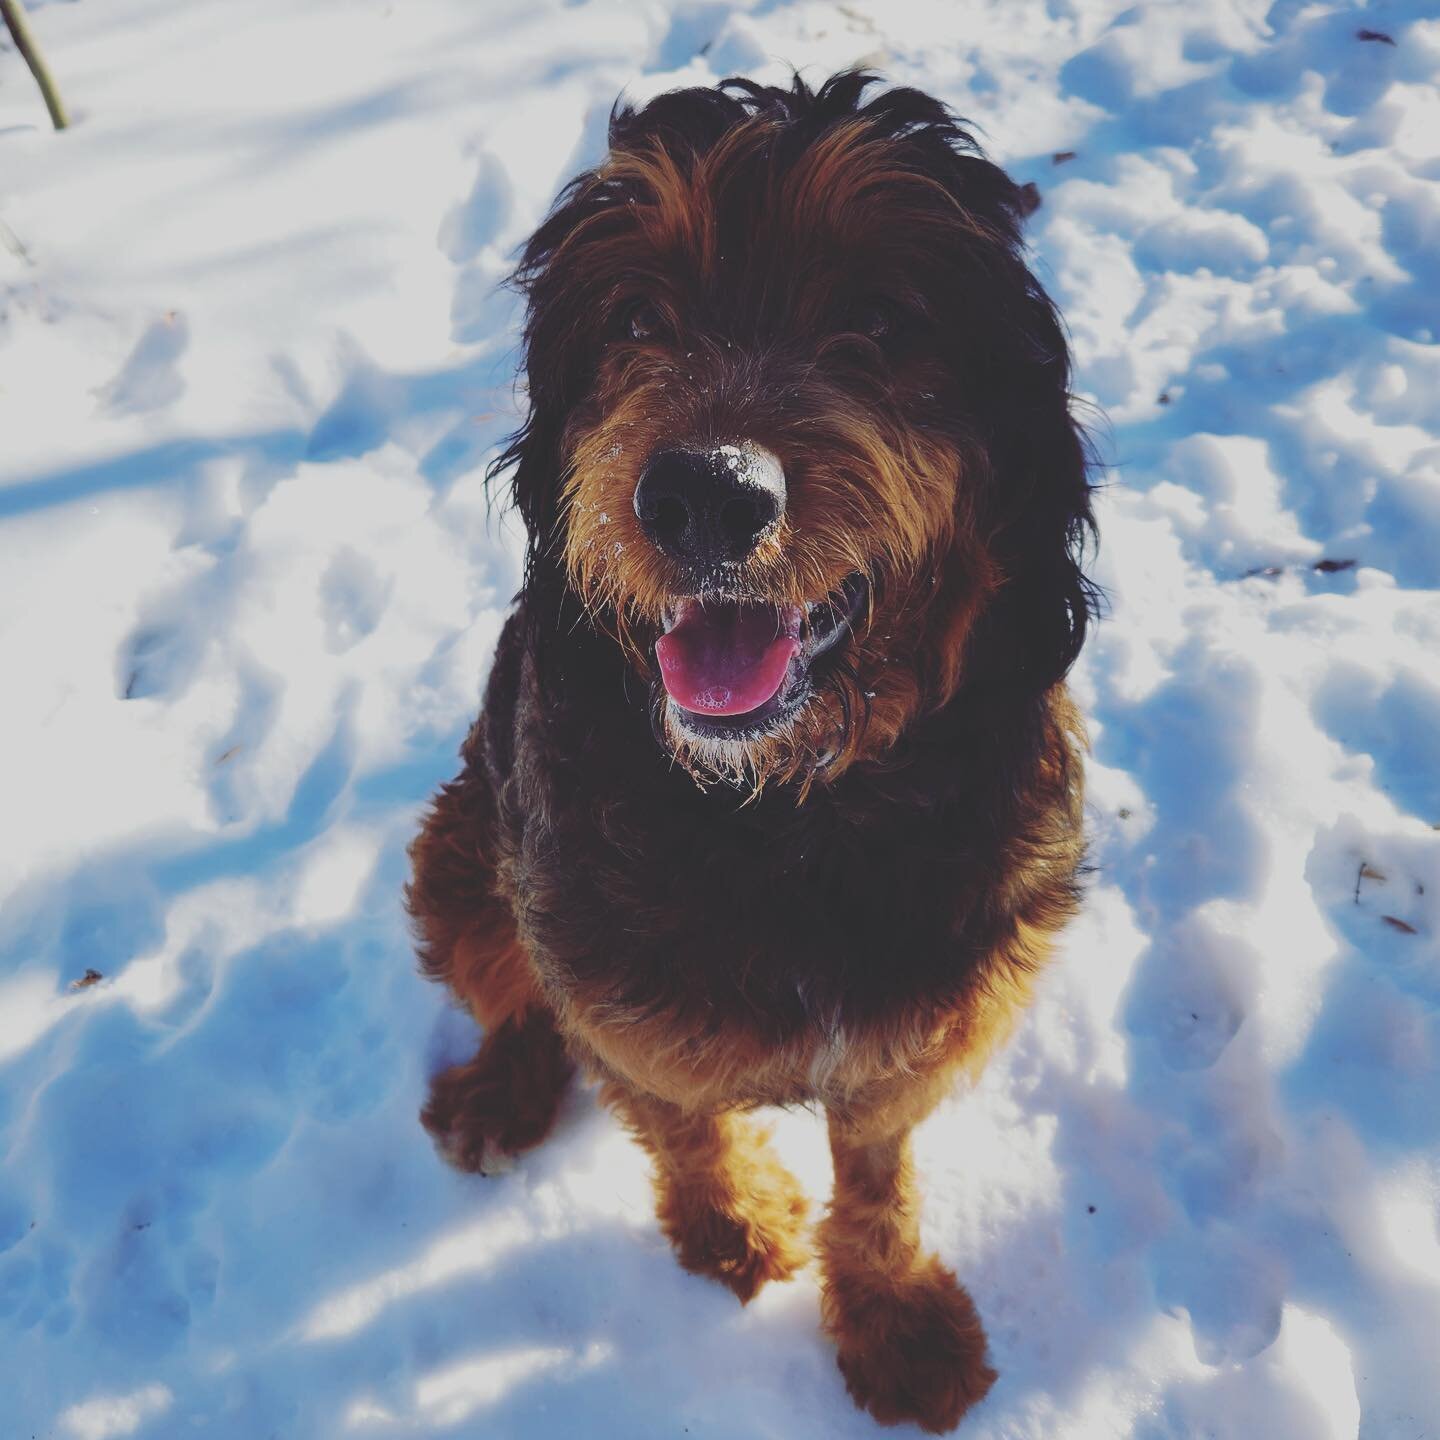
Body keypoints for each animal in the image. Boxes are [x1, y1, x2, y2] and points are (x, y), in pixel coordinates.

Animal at [411, 67, 1094, 1428]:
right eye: (635, 313)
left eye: (882, 315)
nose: (705, 496)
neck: (786, 811)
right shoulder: (620, 1002)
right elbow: (679, 1123)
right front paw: (729, 1229)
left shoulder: (919, 1022)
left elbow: (876, 1176)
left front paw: (892, 1317)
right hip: (459, 859)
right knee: (510, 995)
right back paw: (499, 1092)